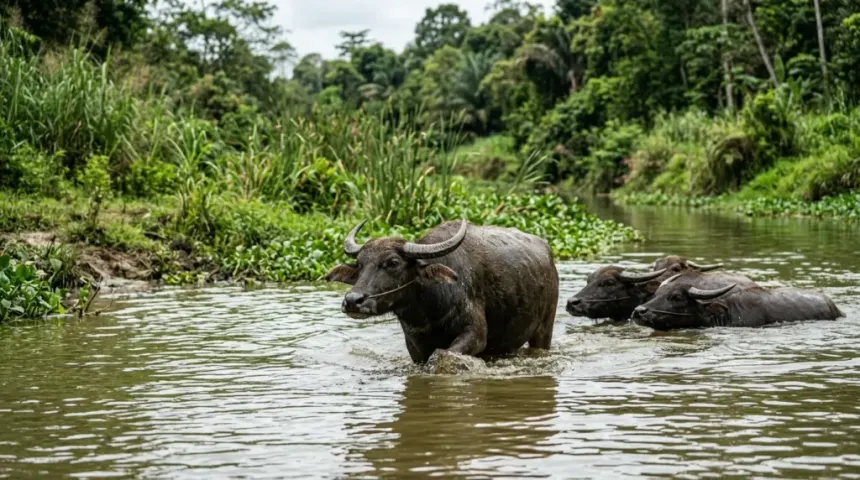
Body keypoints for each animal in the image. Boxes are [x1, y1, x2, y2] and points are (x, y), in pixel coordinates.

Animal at [325, 219, 559, 364]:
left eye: (393, 262)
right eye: (360, 264)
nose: (353, 300)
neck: (428, 312)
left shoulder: (474, 335)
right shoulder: (415, 347)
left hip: (544, 329)